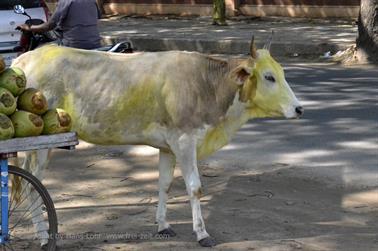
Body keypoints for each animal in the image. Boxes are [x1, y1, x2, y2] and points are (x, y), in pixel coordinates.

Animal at [10, 39, 302, 247]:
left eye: (281, 73)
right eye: (268, 76)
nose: (299, 108)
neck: (207, 85)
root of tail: (25, 58)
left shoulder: (168, 146)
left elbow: (165, 184)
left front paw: (163, 225)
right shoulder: (185, 141)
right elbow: (195, 188)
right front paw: (202, 233)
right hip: (40, 147)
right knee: (31, 186)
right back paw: (43, 236)